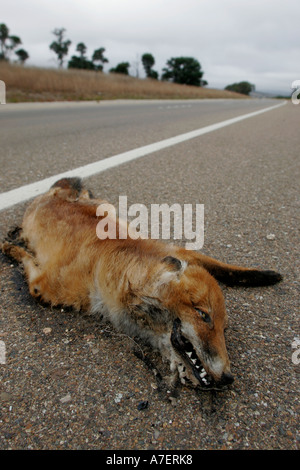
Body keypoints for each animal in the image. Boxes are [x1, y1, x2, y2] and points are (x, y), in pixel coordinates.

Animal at [1, 179, 282, 390]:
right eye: (203, 315)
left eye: (224, 329)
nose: (228, 378)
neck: (107, 260)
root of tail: (53, 193)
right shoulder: (41, 287)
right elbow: (26, 263)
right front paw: (11, 248)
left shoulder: (174, 249)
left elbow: (226, 268)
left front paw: (266, 275)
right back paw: (16, 235)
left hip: (106, 207)